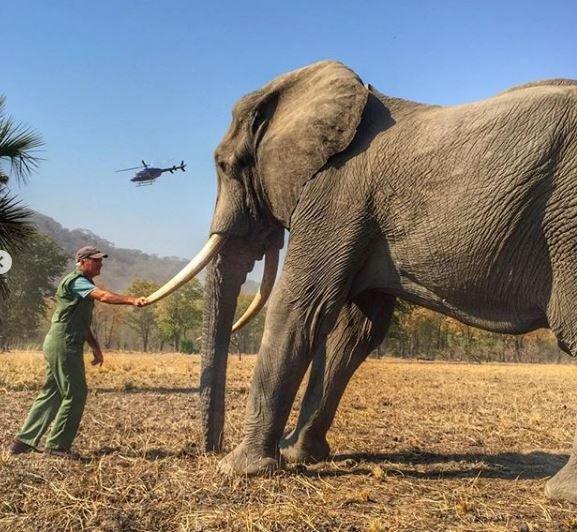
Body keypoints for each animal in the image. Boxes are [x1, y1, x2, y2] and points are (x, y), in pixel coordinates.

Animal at [145, 60, 577, 500]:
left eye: (224, 166)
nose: (206, 448)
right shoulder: (358, 218)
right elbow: (356, 330)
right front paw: (299, 455)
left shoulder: (335, 195)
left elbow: (299, 306)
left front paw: (239, 469)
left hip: (568, 223)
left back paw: (560, 492)